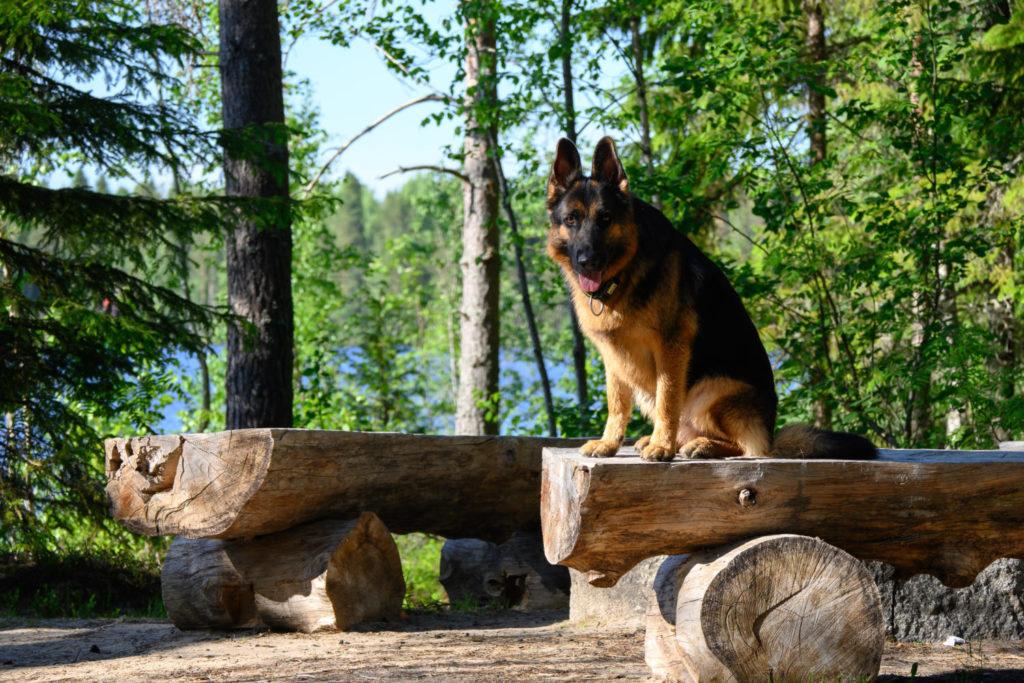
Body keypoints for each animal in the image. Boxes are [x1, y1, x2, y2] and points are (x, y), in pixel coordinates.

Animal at [548, 136, 876, 462]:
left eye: (605, 218)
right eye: (571, 219)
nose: (587, 261)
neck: (625, 272)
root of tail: (771, 433)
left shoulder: (671, 349)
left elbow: (668, 401)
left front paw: (662, 447)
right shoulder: (614, 357)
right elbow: (616, 405)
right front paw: (609, 443)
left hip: (709, 393)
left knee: (748, 447)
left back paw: (700, 445)